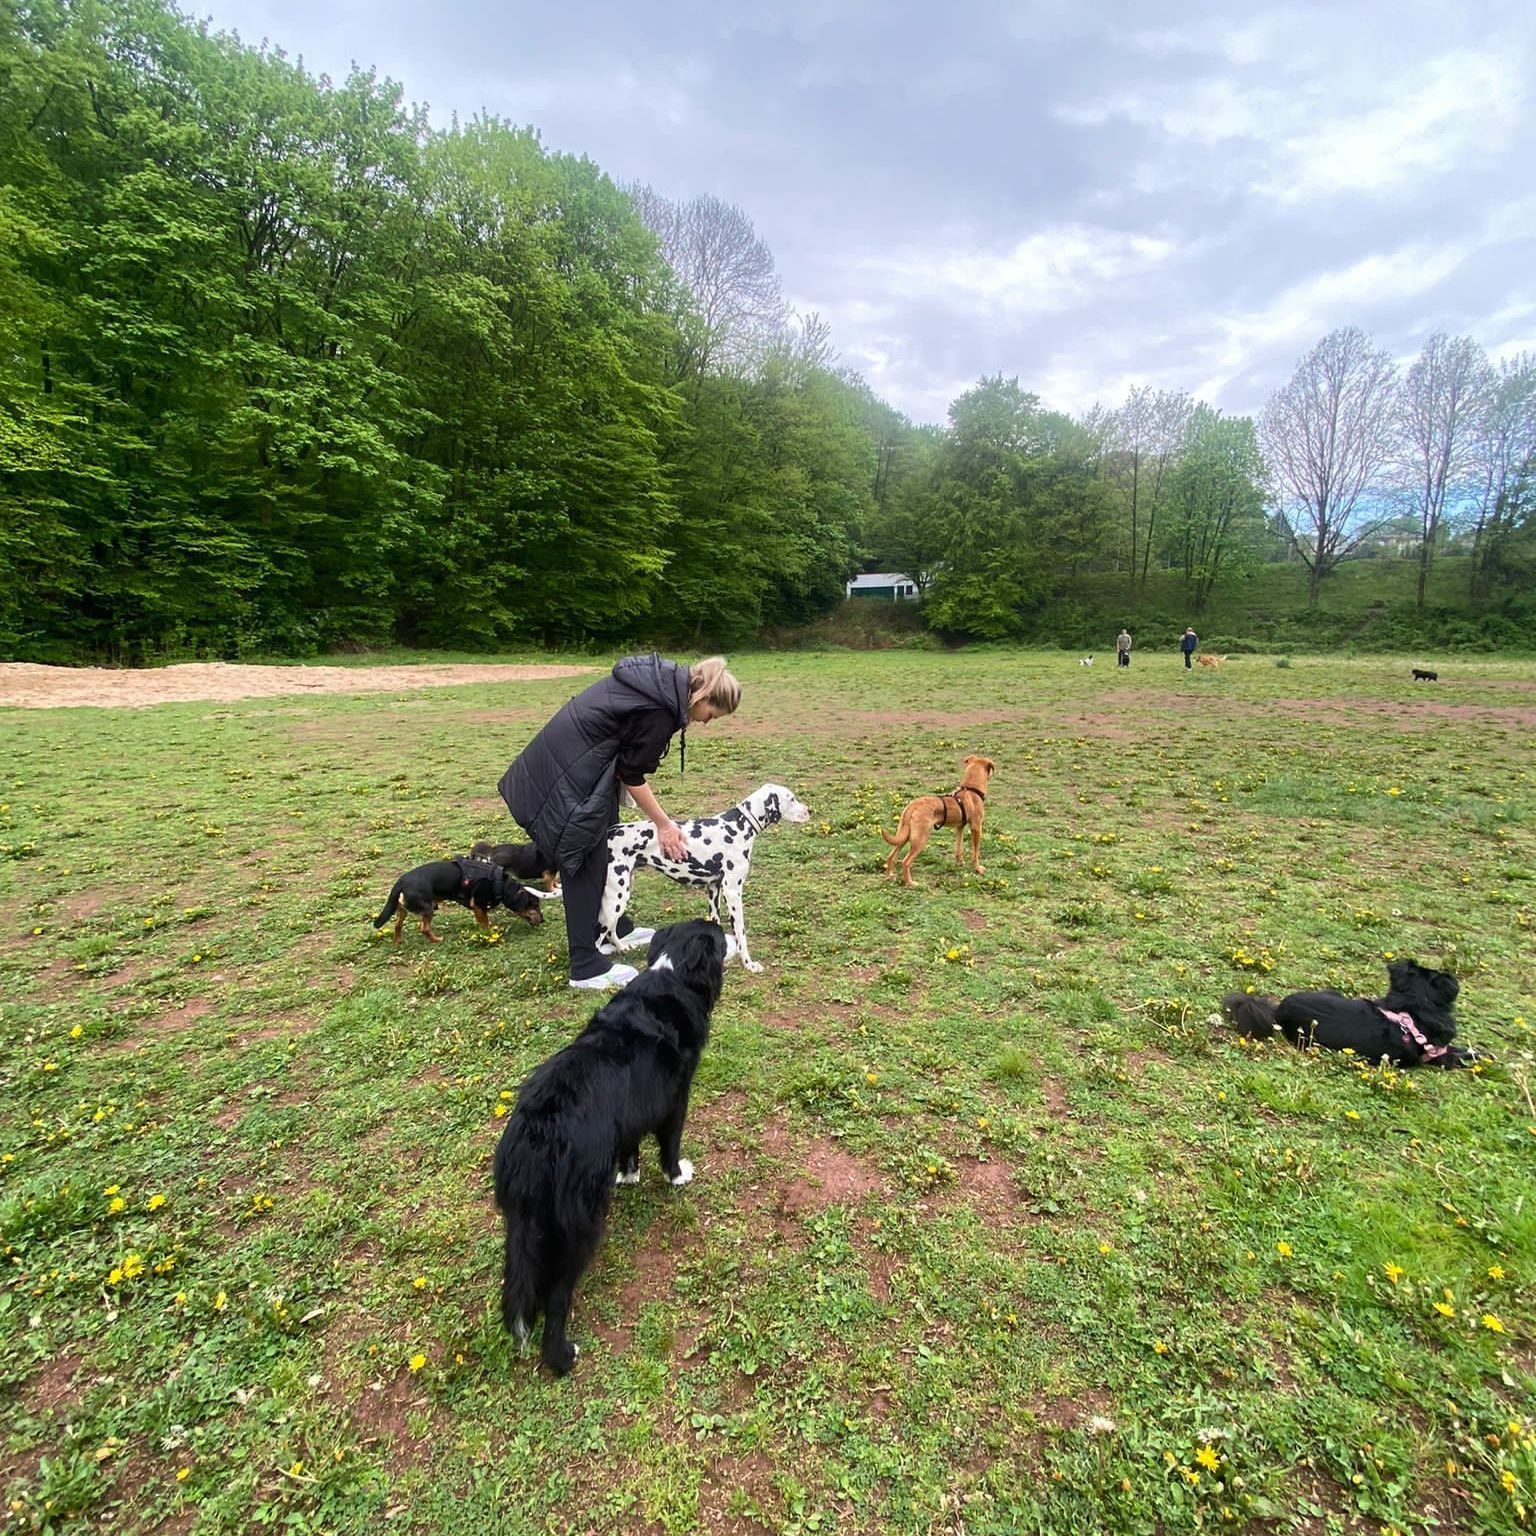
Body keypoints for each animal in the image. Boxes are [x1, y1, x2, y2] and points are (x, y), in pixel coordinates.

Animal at [371, 860, 546, 940]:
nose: (543, 920)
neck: (501, 884)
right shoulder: (479, 906)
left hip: (402, 909)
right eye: (534, 905)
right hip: (428, 907)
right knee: (424, 928)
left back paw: (398, 942)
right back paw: (437, 940)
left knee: (397, 925)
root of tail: (400, 882)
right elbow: (485, 924)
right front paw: (489, 935)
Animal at [494, 915, 728, 1376]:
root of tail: (538, 1132)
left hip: (524, 1221)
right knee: (558, 1294)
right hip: (579, 1218)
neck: (673, 973)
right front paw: (677, 1176)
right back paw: (561, 1356)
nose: (725, 924)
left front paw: (629, 1174)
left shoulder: (633, 1114)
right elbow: (670, 1146)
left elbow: (630, 1146)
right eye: (716, 936)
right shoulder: (675, 1100)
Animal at [599, 780, 817, 970]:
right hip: (615, 900)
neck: (738, 826)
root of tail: (610, 832)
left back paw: (622, 947)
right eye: (791, 799)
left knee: (611, 931)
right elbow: (741, 934)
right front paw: (749, 964)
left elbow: (715, 923)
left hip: (621, 896)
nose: (810, 811)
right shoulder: (733, 892)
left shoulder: (714, 889)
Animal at [884, 755, 1001, 890]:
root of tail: (913, 806)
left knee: (891, 856)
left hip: (904, 835)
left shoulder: (959, 827)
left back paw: (890, 876)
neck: (971, 789)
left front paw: (960, 862)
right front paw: (978, 869)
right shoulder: (976, 827)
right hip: (920, 839)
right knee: (905, 861)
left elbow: (958, 847)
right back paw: (910, 883)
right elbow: (975, 853)